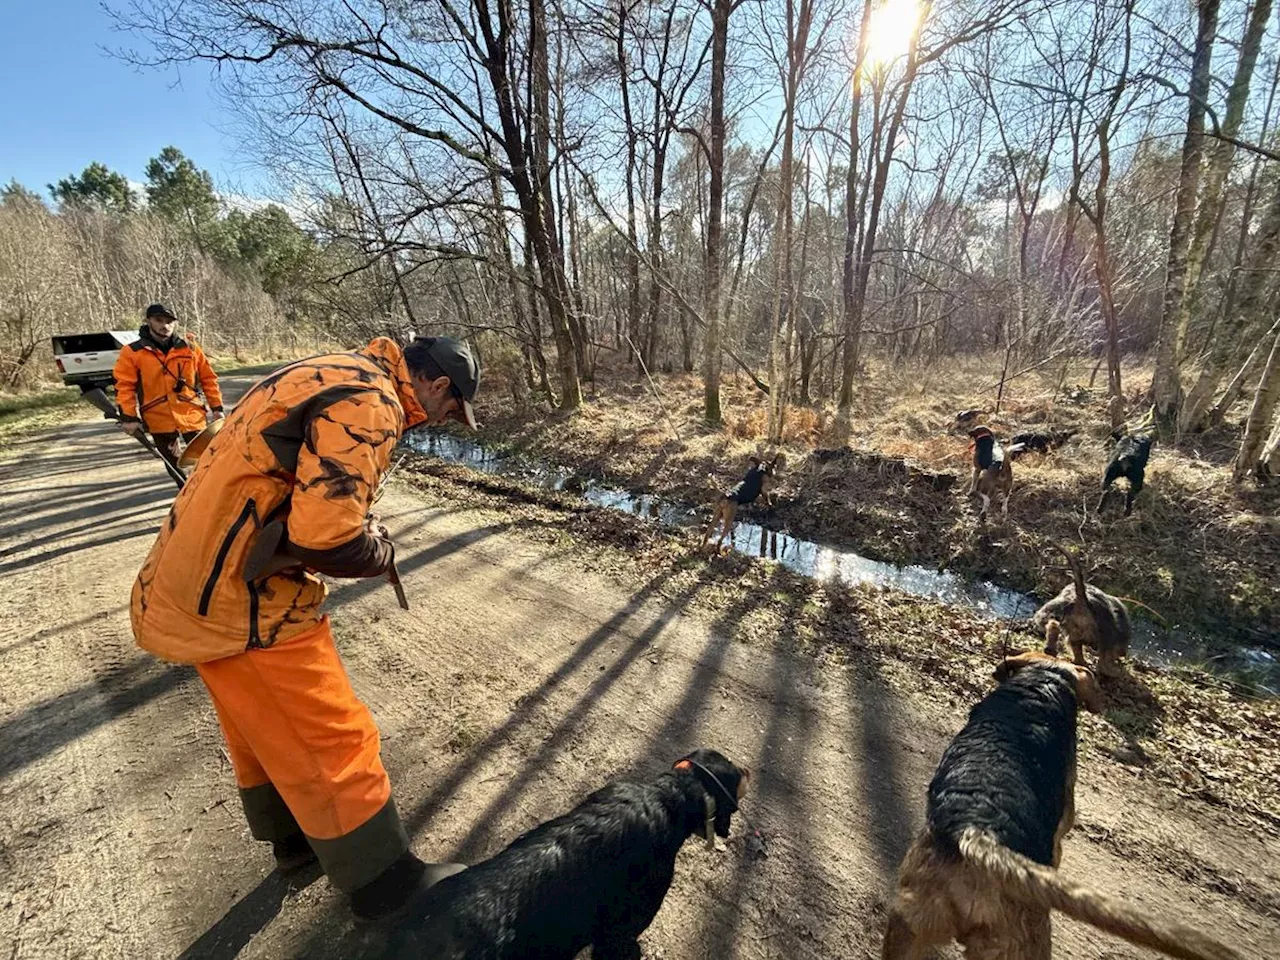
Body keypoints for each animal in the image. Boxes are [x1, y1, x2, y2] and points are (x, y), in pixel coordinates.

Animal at [1029, 545, 1131, 680]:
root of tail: (1081, 600)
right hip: (1104, 636)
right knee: (1102, 663)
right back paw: (1110, 672)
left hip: (1067, 625)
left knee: (1056, 628)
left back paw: (1052, 649)